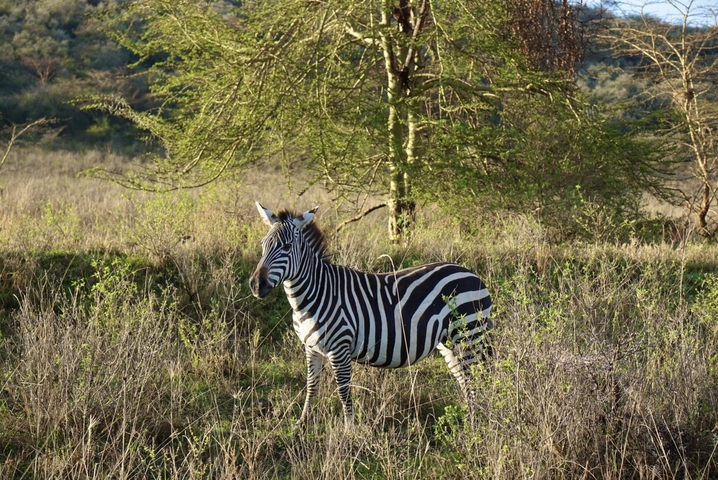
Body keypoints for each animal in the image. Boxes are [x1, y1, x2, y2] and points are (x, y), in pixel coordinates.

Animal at [249, 202, 493, 427]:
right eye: (263, 245)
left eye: (287, 246)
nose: (256, 284)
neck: (315, 294)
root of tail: (473, 275)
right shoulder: (311, 348)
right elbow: (311, 385)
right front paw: (302, 423)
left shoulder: (340, 347)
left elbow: (343, 390)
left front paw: (349, 431)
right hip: (450, 341)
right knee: (464, 379)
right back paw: (469, 422)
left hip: (470, 335)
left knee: (476, 381)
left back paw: (476, 428)